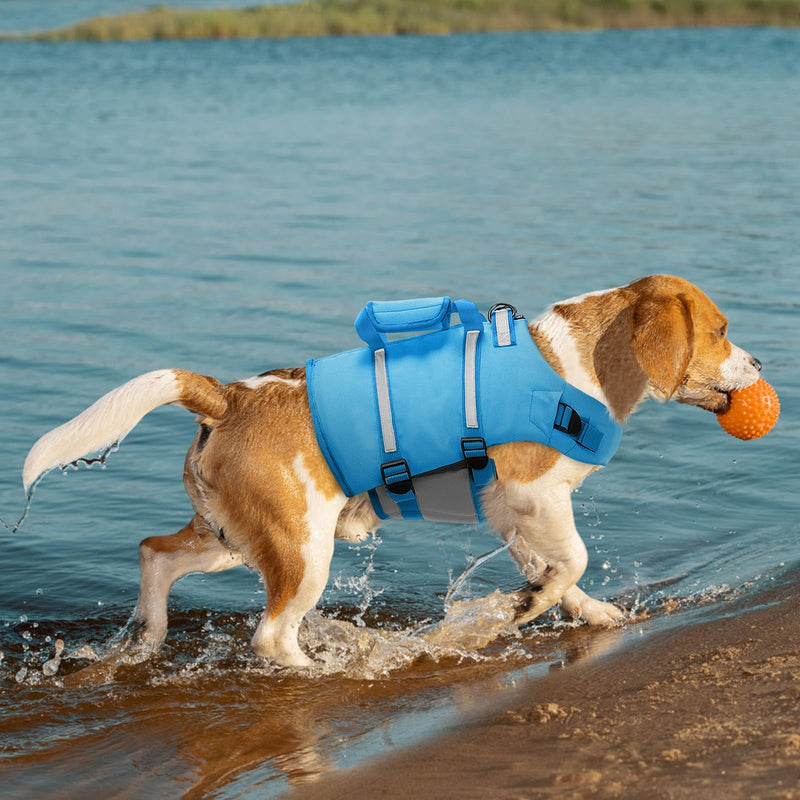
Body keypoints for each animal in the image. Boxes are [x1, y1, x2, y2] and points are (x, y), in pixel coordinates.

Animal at [21, 278, 764, 664]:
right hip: (301, 552)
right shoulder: (536, 496)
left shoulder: (514, 514)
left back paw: (146, 640)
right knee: (270, 634)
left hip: (237, 540)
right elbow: (574, 559)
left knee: (154, 555)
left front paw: (574, 609)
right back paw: (321, 673)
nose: (760, 365)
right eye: (722, 330)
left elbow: (556, 573)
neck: (576, 365)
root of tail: (229, 395)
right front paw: (525, 608)